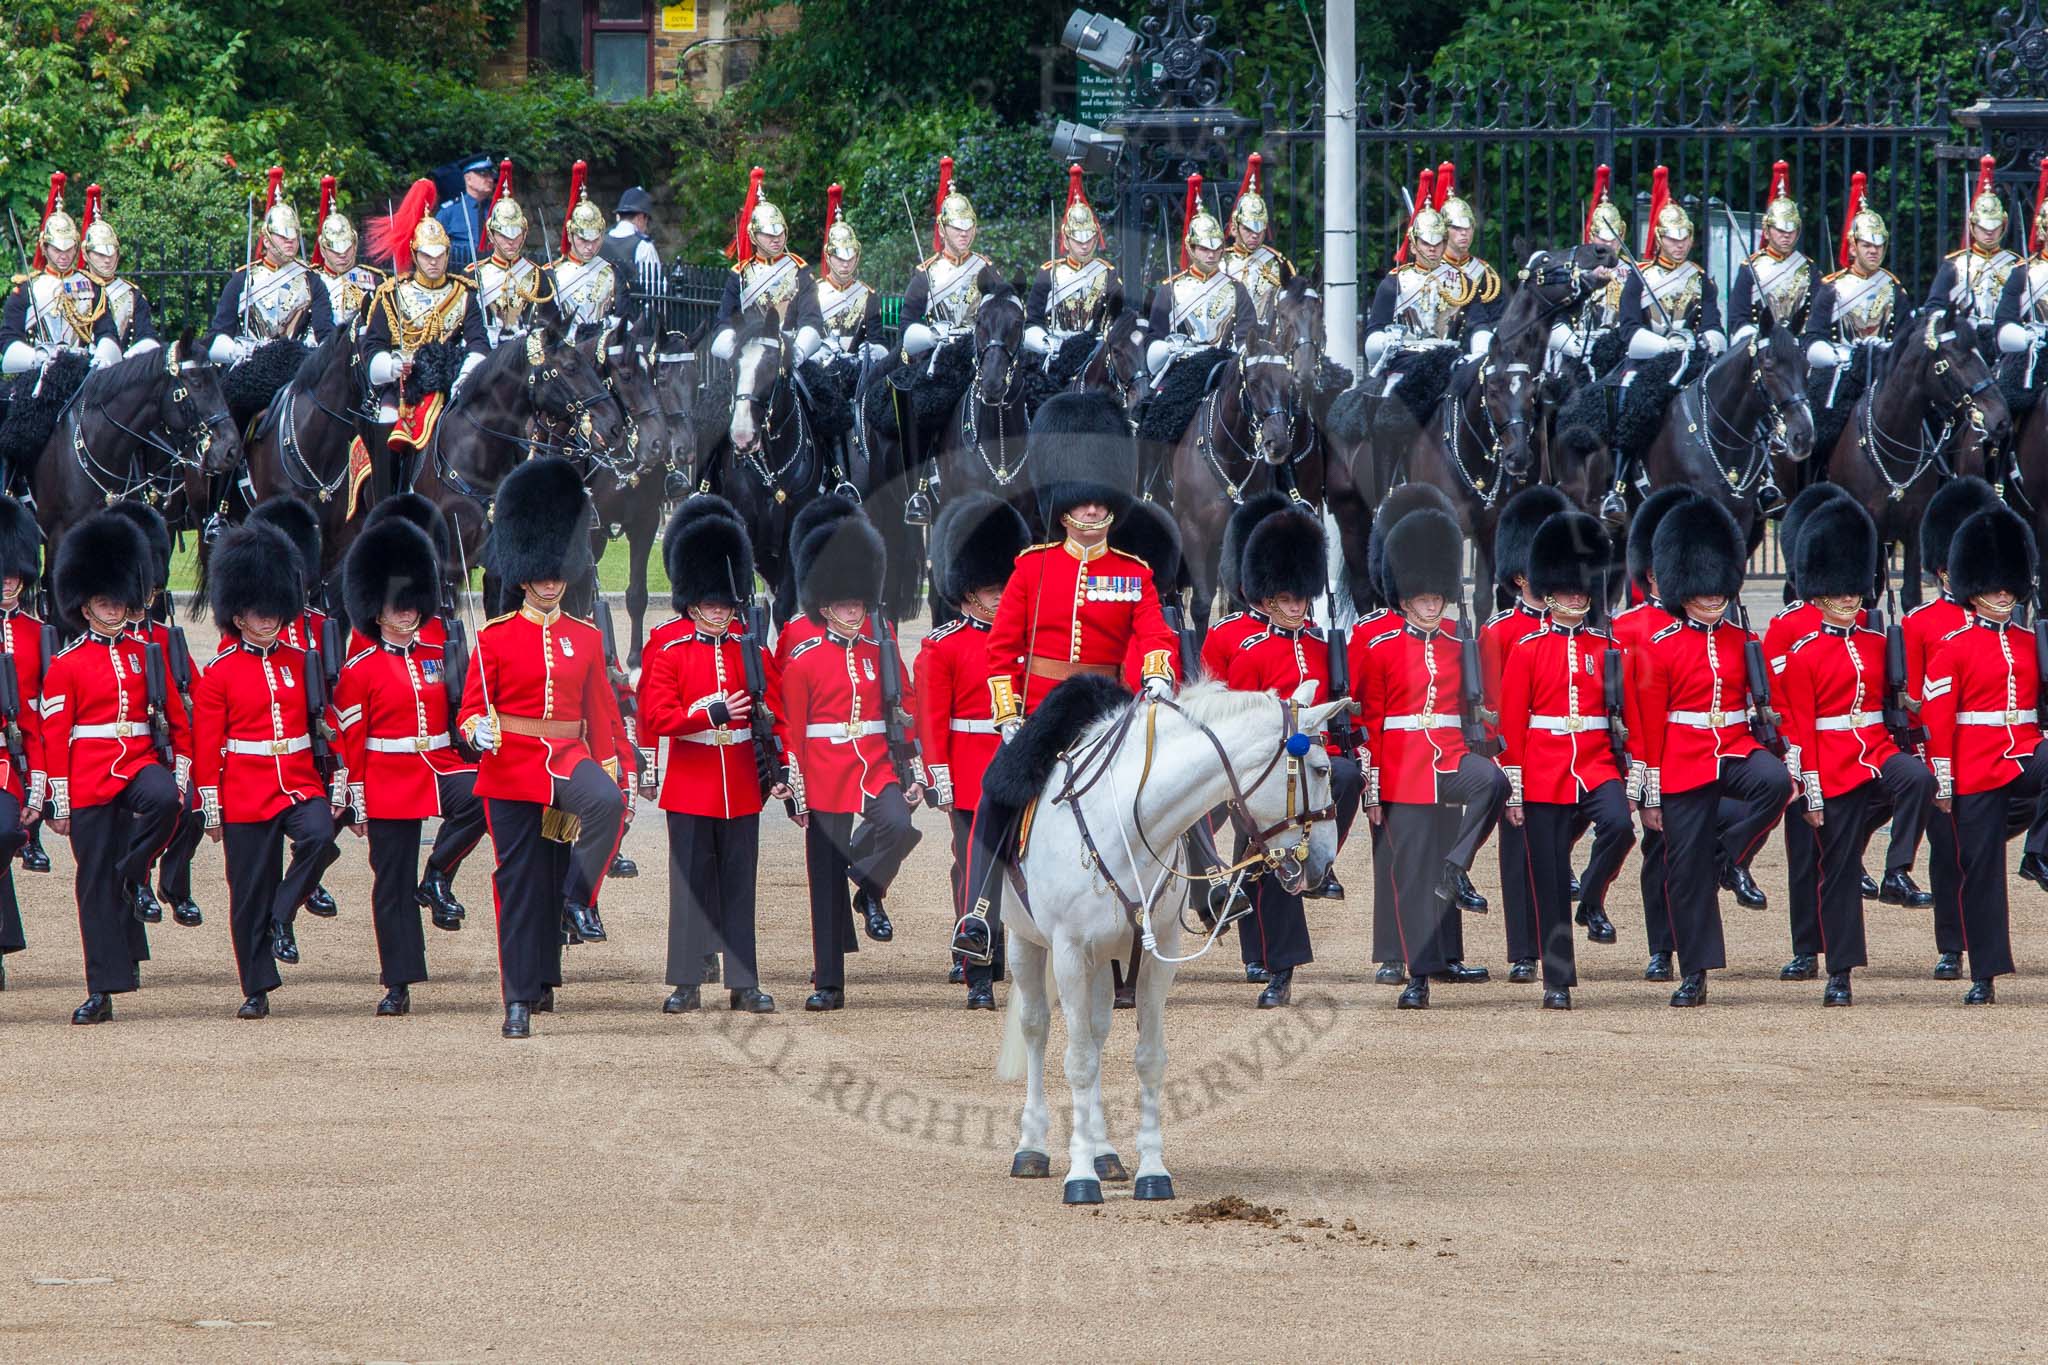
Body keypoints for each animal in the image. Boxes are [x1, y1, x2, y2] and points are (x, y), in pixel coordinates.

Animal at [991, 683, 1343, 1203]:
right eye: (1320, 769)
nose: (1321, 864)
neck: (1128, 828)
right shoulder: (1070, 953)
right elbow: (1077, 1062)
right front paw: (1080, 1177)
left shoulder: (1158, 957)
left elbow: (1148, 1059)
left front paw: (1151, 1171)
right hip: (1025, 942)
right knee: (1038, 1028)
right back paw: (1032, 1146)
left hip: (1105, 958)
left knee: (1096, 1033)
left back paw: (1104, 1151)